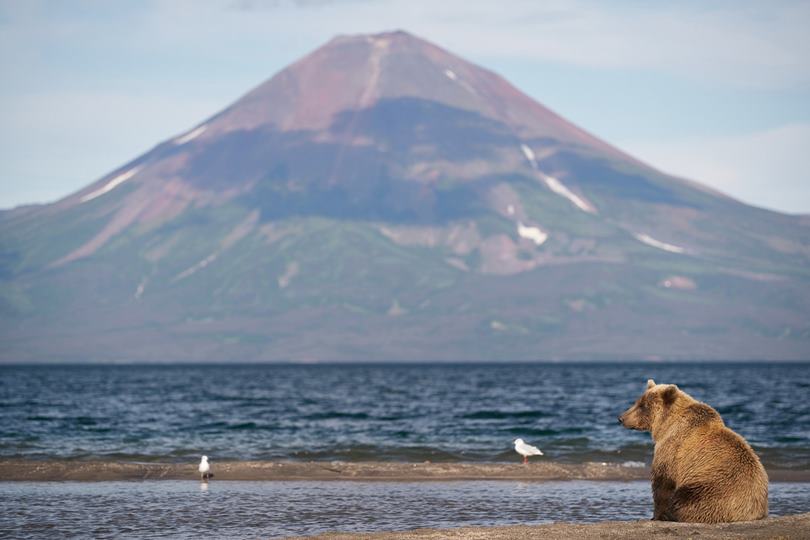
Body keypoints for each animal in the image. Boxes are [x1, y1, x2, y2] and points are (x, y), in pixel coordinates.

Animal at [620, 380, 764, 524]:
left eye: (642, 406)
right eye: (637, 402)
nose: (621, 418)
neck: (667, 424)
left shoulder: (672, 448)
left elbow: (663, 483)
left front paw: (657, 515)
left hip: (710, 489)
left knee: (684, 499)